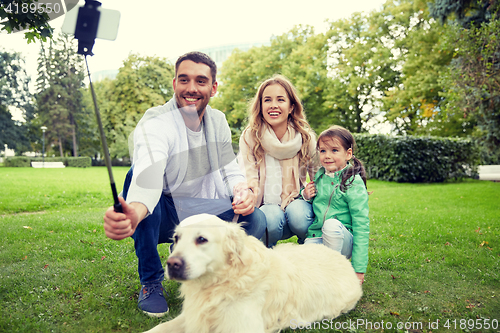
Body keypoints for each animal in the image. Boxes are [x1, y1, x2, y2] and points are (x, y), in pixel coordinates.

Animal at [143, 213, 362, 332]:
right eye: (176, 238)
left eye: (201, 239)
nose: (171, 265)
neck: (220, 283)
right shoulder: (193, 316)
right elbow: (160, 327)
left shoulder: (241, 327)